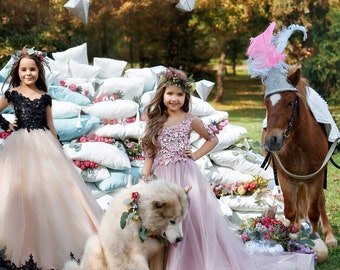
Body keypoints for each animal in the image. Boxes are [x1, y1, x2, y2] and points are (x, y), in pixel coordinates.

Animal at [262, 68, 338, 247]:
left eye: (290, 103)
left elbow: (314, 211)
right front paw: (293, 235)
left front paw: (316, 238)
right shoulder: (286, 178)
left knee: (320, 202)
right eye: (266, 104)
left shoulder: (315, 178)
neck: (300, 145)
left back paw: (329, 236)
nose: (271, 140)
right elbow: (290, 210)